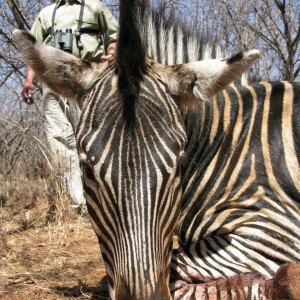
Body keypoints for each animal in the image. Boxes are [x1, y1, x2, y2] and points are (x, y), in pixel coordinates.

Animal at [12, 0, 298, 298]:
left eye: (179, 164)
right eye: (87, 170)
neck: (225, 142)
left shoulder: (273, 228)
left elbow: (176, 269)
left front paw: (286, 281)